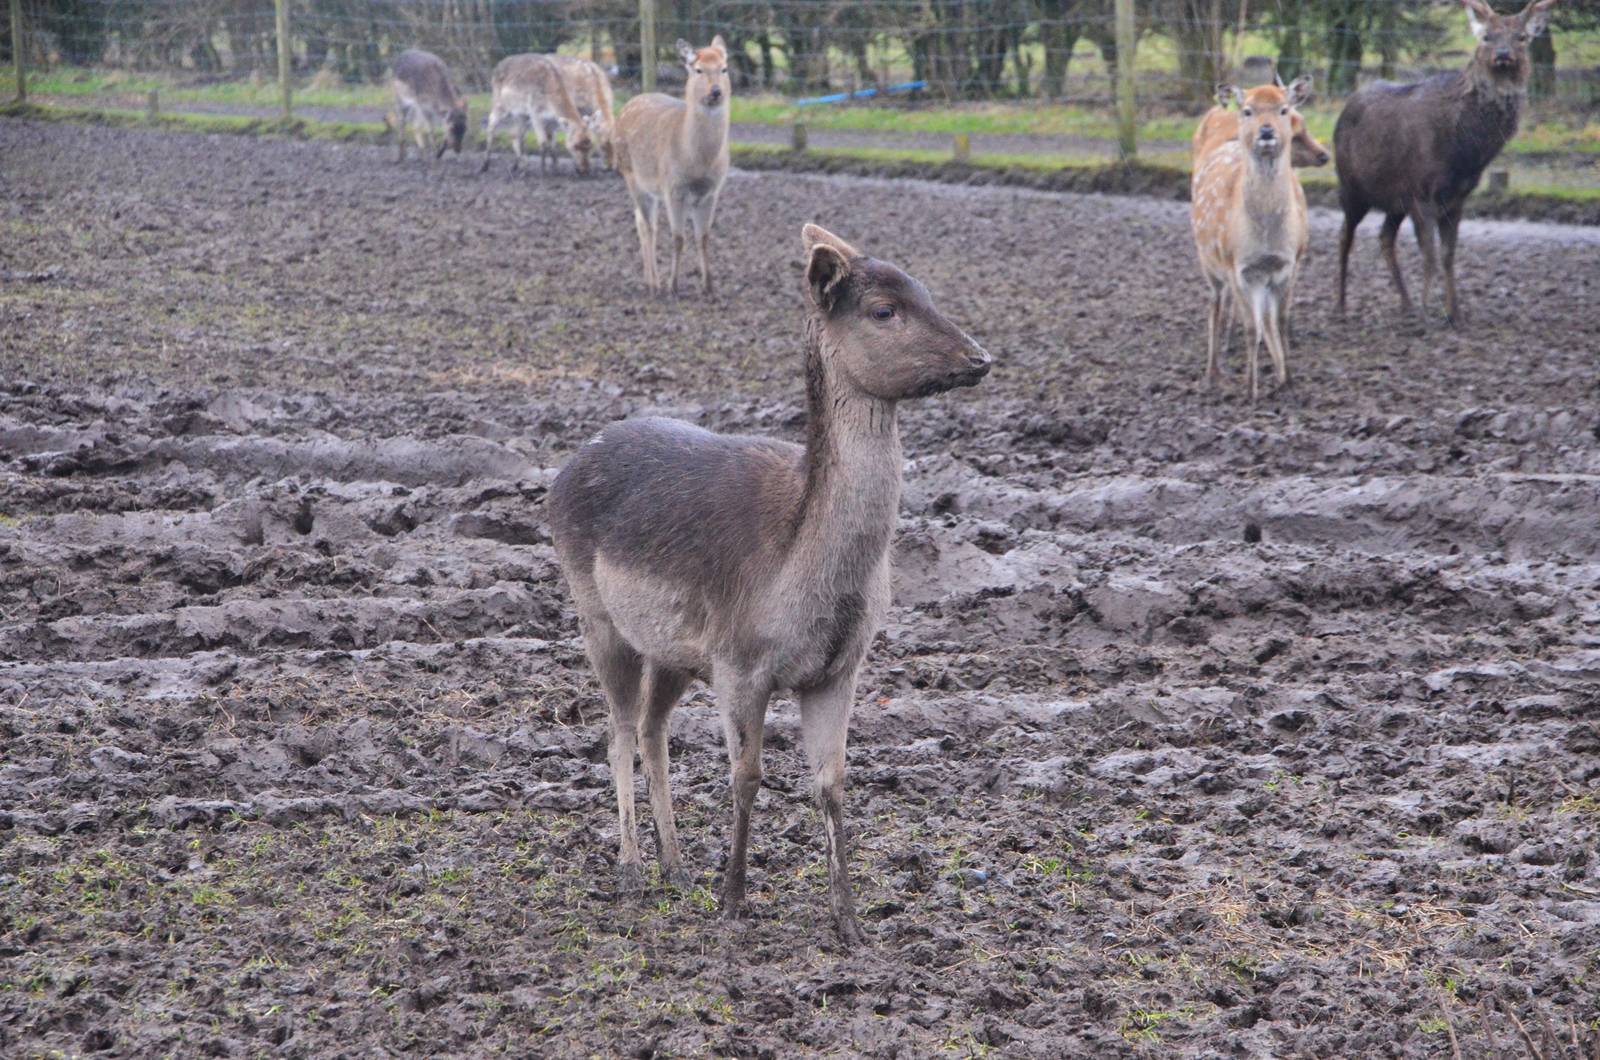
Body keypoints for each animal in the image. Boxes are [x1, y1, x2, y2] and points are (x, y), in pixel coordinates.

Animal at [547, 223, 991, 946]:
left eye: (924, 288)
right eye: (884, 310)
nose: (979, 357)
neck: (804, 581)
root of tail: (563, 471)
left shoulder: (839, 669)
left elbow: (831, 782)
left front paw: (850, 921)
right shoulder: (738, 662)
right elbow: (747, 776)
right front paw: (732, 903)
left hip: (672, 651)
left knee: (653, 730)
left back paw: (677, 866)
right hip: (598, 617)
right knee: (617, 728)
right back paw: (634, 870)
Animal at [614, 36, 731, 296]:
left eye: (724, 68)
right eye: (698, 69)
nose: (716, 91)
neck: (697, 161)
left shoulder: (712, 191)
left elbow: (703, 236)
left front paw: (708, 286)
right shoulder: (673, 188)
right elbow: (678, 238)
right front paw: (673, 285)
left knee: (639, 221)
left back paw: (649, 279)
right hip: (630, 173)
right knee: (649, 226)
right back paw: (654, 283)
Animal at [1191, 78, 1313, 403]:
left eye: (1284, 109)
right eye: (1248, 110)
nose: (1266, 131)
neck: (1265, 239)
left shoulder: (1290, 264)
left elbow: (1280, 321)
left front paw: (1289, 381)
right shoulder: (1238, 267)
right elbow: (1250, 328)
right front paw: (1250, 390)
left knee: (1264, 318)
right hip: (1208, 260)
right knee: (1215, 306)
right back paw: (1213, 373)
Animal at [1335, 0, 1559, 326]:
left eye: (1521, 37)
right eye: (1486, 36)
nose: (1503, 55)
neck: (1464, 153)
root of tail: (1344, 108)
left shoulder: (1455, 197)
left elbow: (1448, 254)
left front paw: (1454, 312)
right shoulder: (1422, 191)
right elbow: (1429, 253)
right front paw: (1428, 309)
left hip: (1393, 199)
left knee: (1385, 237)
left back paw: (1405, 304)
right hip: (1351, 187)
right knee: (1344, 236)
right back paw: (1340, 306)